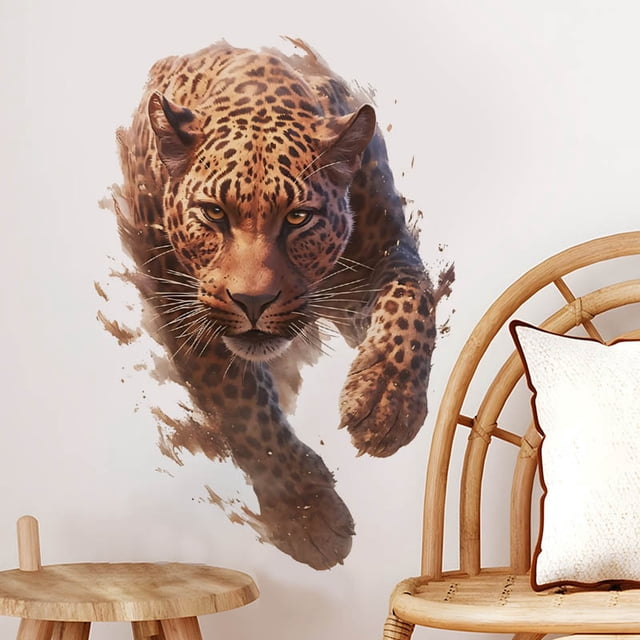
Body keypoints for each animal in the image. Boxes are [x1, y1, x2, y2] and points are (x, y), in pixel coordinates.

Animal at [110, 38, 453, 570]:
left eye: (298, 218)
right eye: (214, 213)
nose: (253, 300)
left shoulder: (384, 252)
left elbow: (412, 298)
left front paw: (387, 399)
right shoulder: (182, 303)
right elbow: (244, 405)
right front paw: (306, 511)